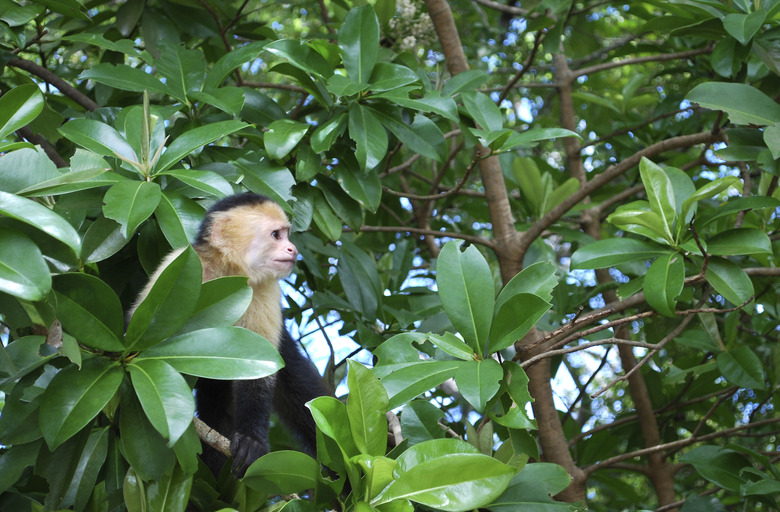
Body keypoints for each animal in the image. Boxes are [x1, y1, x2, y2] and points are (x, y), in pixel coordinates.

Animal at [132, 192, 332, 476]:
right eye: (276, 235)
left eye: (287, 234)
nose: (292, 249)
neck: (230, 272)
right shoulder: (181, 262)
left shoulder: (265, 288)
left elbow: (259, 368)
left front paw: (251, 441)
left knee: (302, 396)